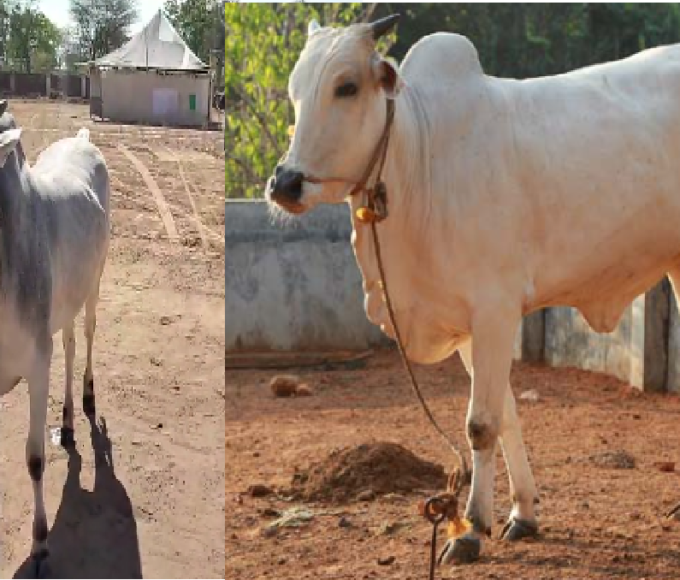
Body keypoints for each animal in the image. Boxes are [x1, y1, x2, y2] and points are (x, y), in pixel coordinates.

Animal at [265, 14, 680, 566]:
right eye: (295, 90)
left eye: (346, 87)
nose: (284, 184)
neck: (420, 157)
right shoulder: (468, 326)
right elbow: (505, 415)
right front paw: (521, 514)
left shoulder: (495, 310)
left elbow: (480, 424)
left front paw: (468, 530)